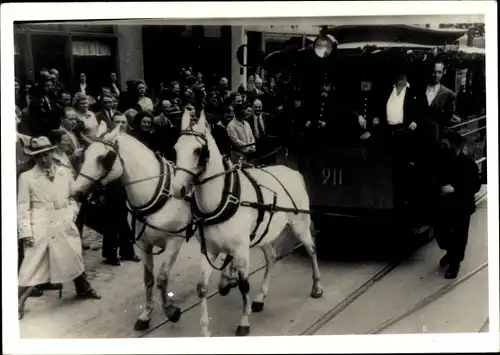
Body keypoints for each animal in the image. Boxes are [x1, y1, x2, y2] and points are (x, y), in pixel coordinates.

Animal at [72, 125, 193, 330]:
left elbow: (162, 278)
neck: (158, 195)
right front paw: (146, 315)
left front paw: (171, 311)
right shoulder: (144, 244)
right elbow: (149, 279)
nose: (75, 192)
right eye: (84, 157)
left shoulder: (174, 241)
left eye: (104, 158)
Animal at [170, 110, 322, 338]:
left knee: (311, 249)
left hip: (300, 224)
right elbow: (202, 287)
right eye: (176, 149)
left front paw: (243, 322)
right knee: (271, 258)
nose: (177, 189)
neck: (222, 199)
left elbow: (244, 285)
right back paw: (260, 297)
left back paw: (316, 286)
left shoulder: (240, 250)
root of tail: (293, 172)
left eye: (198, 150)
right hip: (264, 234)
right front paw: (205, 330)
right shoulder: (209, 250)